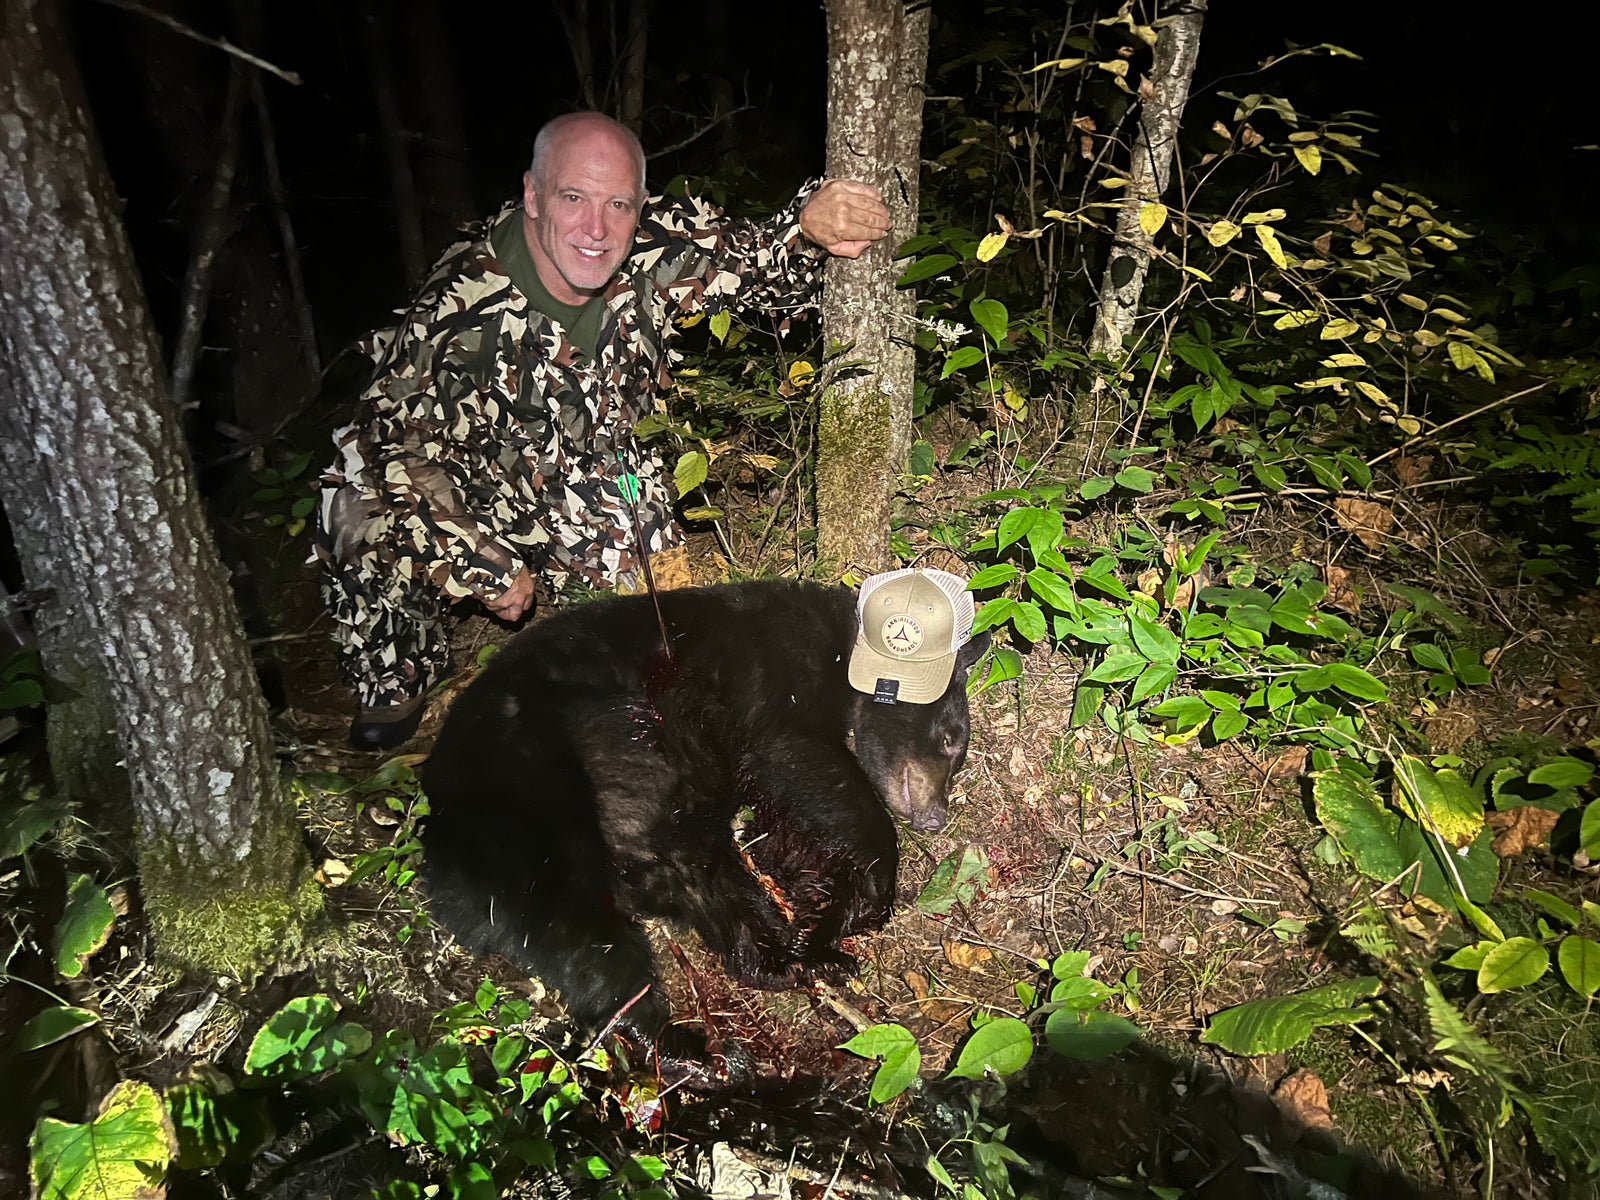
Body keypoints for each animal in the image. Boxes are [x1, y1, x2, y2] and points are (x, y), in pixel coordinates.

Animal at [419, 575, 988, 1075]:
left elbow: (783, 822)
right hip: (531, 798)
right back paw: (681, 1044)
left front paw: (823, 908)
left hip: (656, 816)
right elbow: (797, 755)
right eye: (949, 740)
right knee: (585, 932)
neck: (839, 649)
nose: (937, 817)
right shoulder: (774, 677)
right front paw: (868, 890)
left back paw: (788, 958)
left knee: (704, 875)